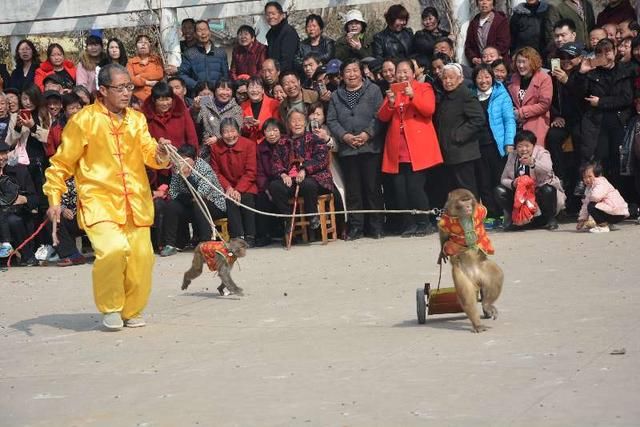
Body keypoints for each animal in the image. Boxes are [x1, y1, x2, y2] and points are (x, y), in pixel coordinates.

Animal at [438, 189, 502, 332]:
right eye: (463, 201)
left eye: (468, 200)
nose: (468, 207)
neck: (463, 217)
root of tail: (477, 277)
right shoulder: (445, 219)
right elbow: (443, 235)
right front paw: (441, 252)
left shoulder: (480, 210)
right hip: (461, 275)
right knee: (467, 296)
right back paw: (477, 323)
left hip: (484, 268)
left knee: (496, 274)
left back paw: (487, 304)